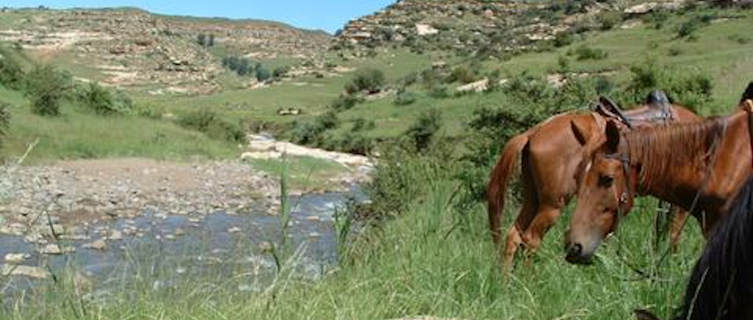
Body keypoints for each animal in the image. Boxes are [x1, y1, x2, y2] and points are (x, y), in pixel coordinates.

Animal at [488, 92, 700, 268]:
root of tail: (533, 132)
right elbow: (674, 234)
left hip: (533, 199)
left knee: (514, 236)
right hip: (551, 205)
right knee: (531, 240)